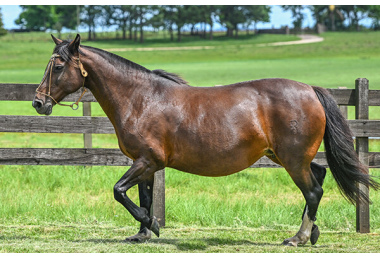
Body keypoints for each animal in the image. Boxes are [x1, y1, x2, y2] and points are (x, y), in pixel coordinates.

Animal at [33, 34, 380, 246]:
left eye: (59, 66)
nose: (38, 102)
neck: (141, 99)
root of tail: (310, 89)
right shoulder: (144, 163)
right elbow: (143, 197)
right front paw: (142, 233)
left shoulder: (147, 161)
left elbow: (120, 191)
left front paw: (152, 225)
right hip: (285, 156)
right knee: (318, 176)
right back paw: (313, 232)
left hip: (293, 160)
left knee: (313, 190)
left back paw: (298, 237)